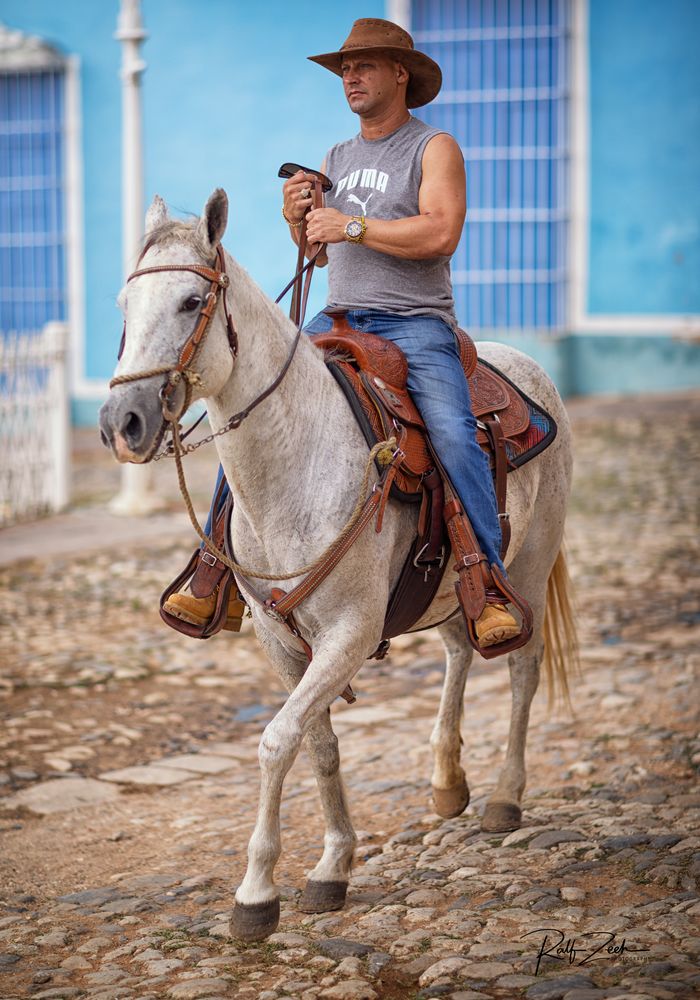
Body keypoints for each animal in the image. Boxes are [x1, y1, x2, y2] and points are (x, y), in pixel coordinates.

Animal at [101, 189, 576, 944]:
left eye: (189, 302)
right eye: (124, 305)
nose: (122, 422)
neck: (297, 460)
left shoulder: (350, 634)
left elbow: (276, 741)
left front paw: (256, 894)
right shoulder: (281, 641)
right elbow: (318, 745)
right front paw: (332, 865)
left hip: (529, 564)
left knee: (522, 672)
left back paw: (504, 797)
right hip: (447, 586)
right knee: (456, 650)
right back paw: (447, 783)